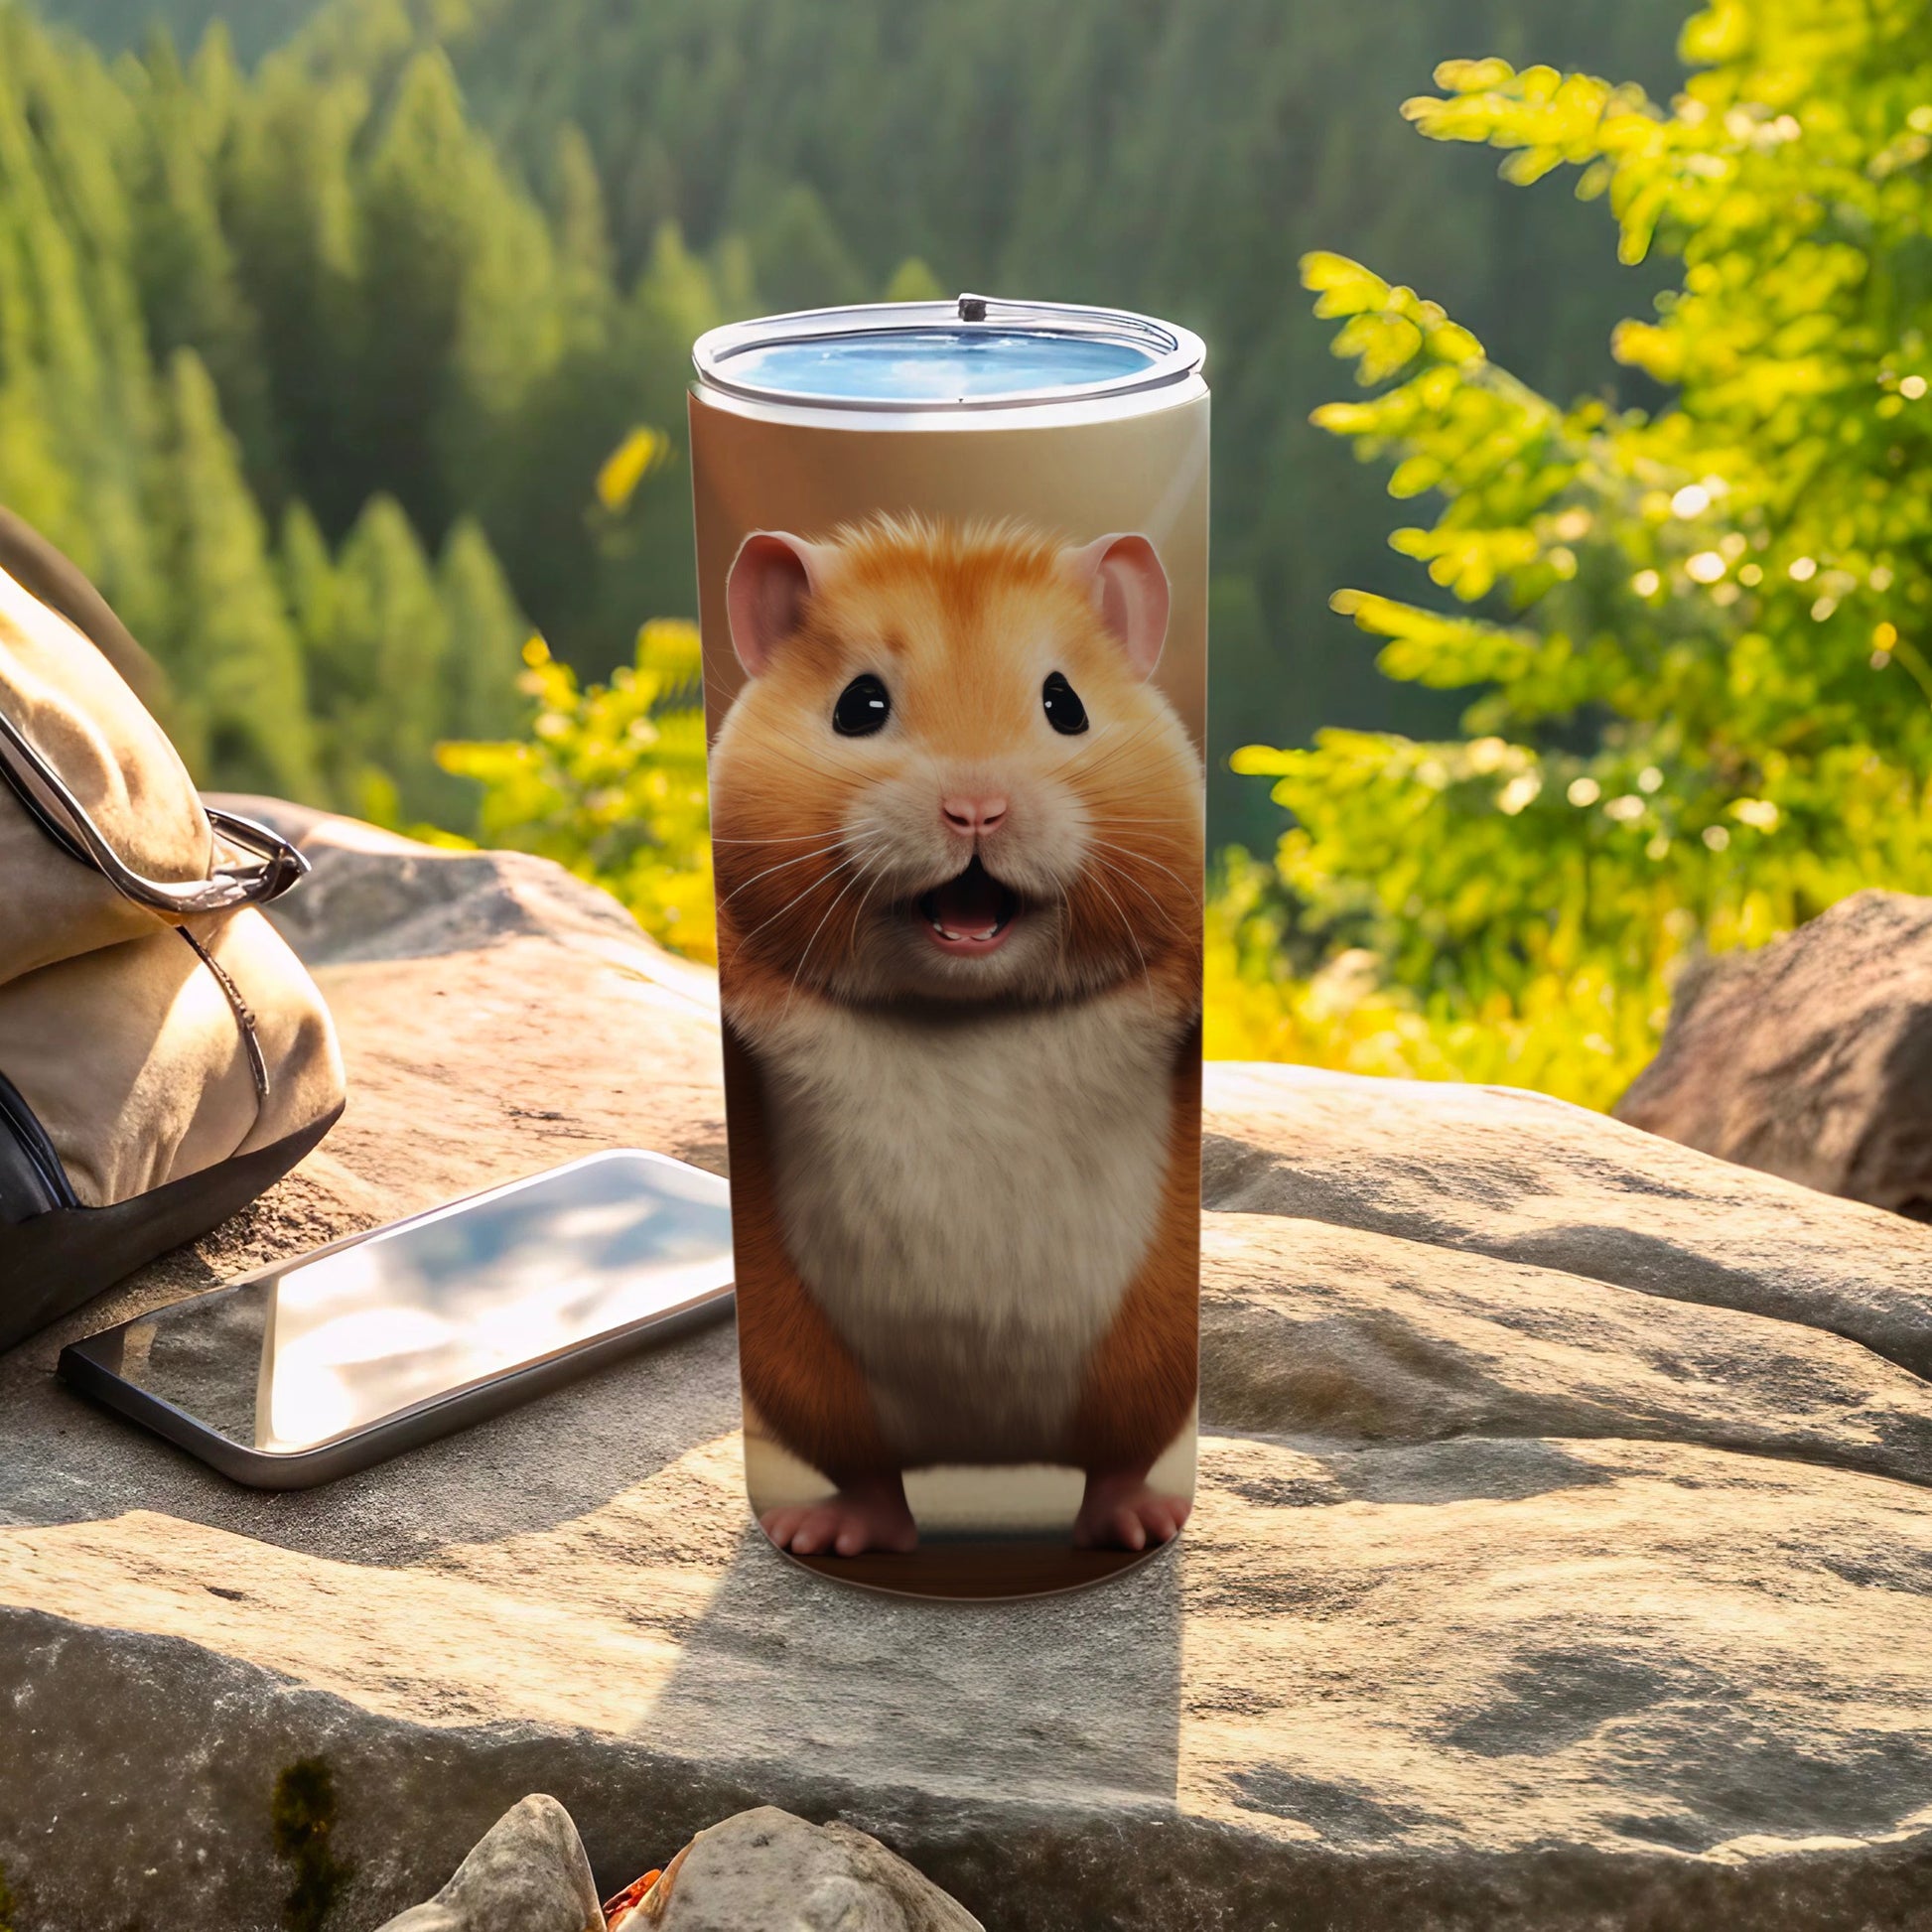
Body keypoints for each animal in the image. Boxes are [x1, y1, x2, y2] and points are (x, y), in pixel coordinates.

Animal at [709, 514, 1203, 1558]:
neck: (965, 1008)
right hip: (805, 1373)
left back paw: (1133, 1526)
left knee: (1115, 1466)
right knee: (873, 1481)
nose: (976, 809)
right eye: (859, 704)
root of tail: (987, 1459)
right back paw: (828, 1535)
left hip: (1144, 1364)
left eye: (1065, 703)